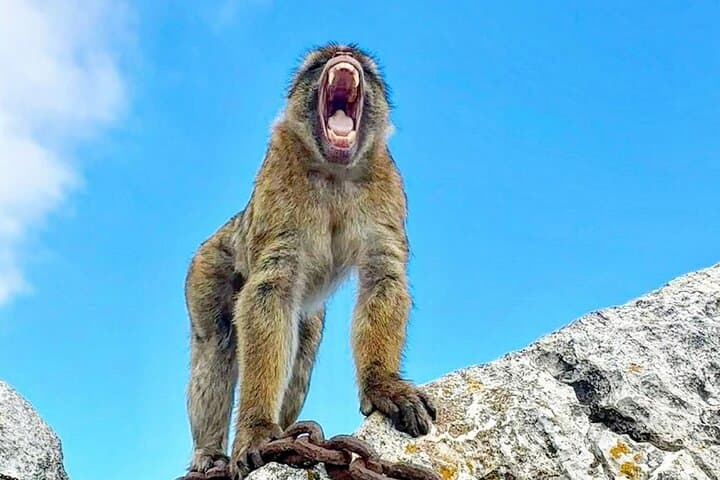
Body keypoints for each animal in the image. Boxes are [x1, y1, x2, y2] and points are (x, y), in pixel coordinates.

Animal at [182, 43, 436, 480]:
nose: (344, 56)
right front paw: (256, 430)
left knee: (300, 357)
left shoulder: (387, 187)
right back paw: (210, 453)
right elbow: (269, 291)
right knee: (217, 346)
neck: (334, 171)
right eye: (320, 62)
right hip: (206, 268)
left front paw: (382, 384)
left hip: (307, 315)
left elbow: (382, 275)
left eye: (364, 66)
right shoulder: (278, 181)